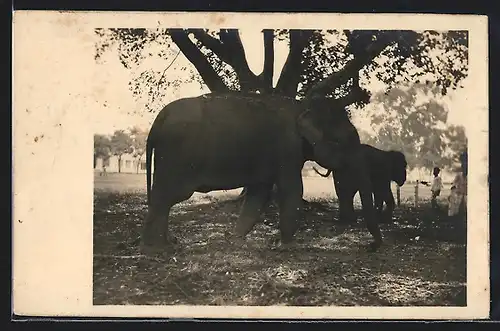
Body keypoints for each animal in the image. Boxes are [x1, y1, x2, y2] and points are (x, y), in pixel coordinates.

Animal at [141, 92, 382, 255]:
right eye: (342, 141)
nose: (371, 246)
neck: (302, 106)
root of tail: (158, 119)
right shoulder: (287, 148)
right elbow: (292, 188)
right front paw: (287, 245)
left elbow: (259, 193)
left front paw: (234, 239)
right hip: (177, 157)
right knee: (166, 196)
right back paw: (158, 247)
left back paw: (165, 242)